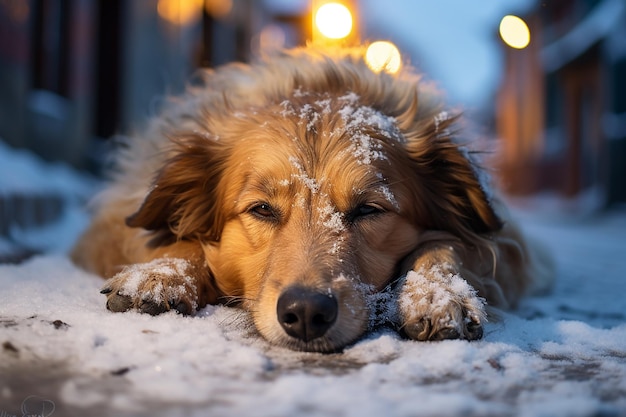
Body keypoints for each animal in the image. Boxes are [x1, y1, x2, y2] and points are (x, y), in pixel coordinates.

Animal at [70, 45, 552, 352]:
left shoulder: (511, 246)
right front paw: (159, 274)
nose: (305, 313)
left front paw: (436, 293)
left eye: (369, 209)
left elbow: (449, 243)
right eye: (261, 209)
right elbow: (179, 240)